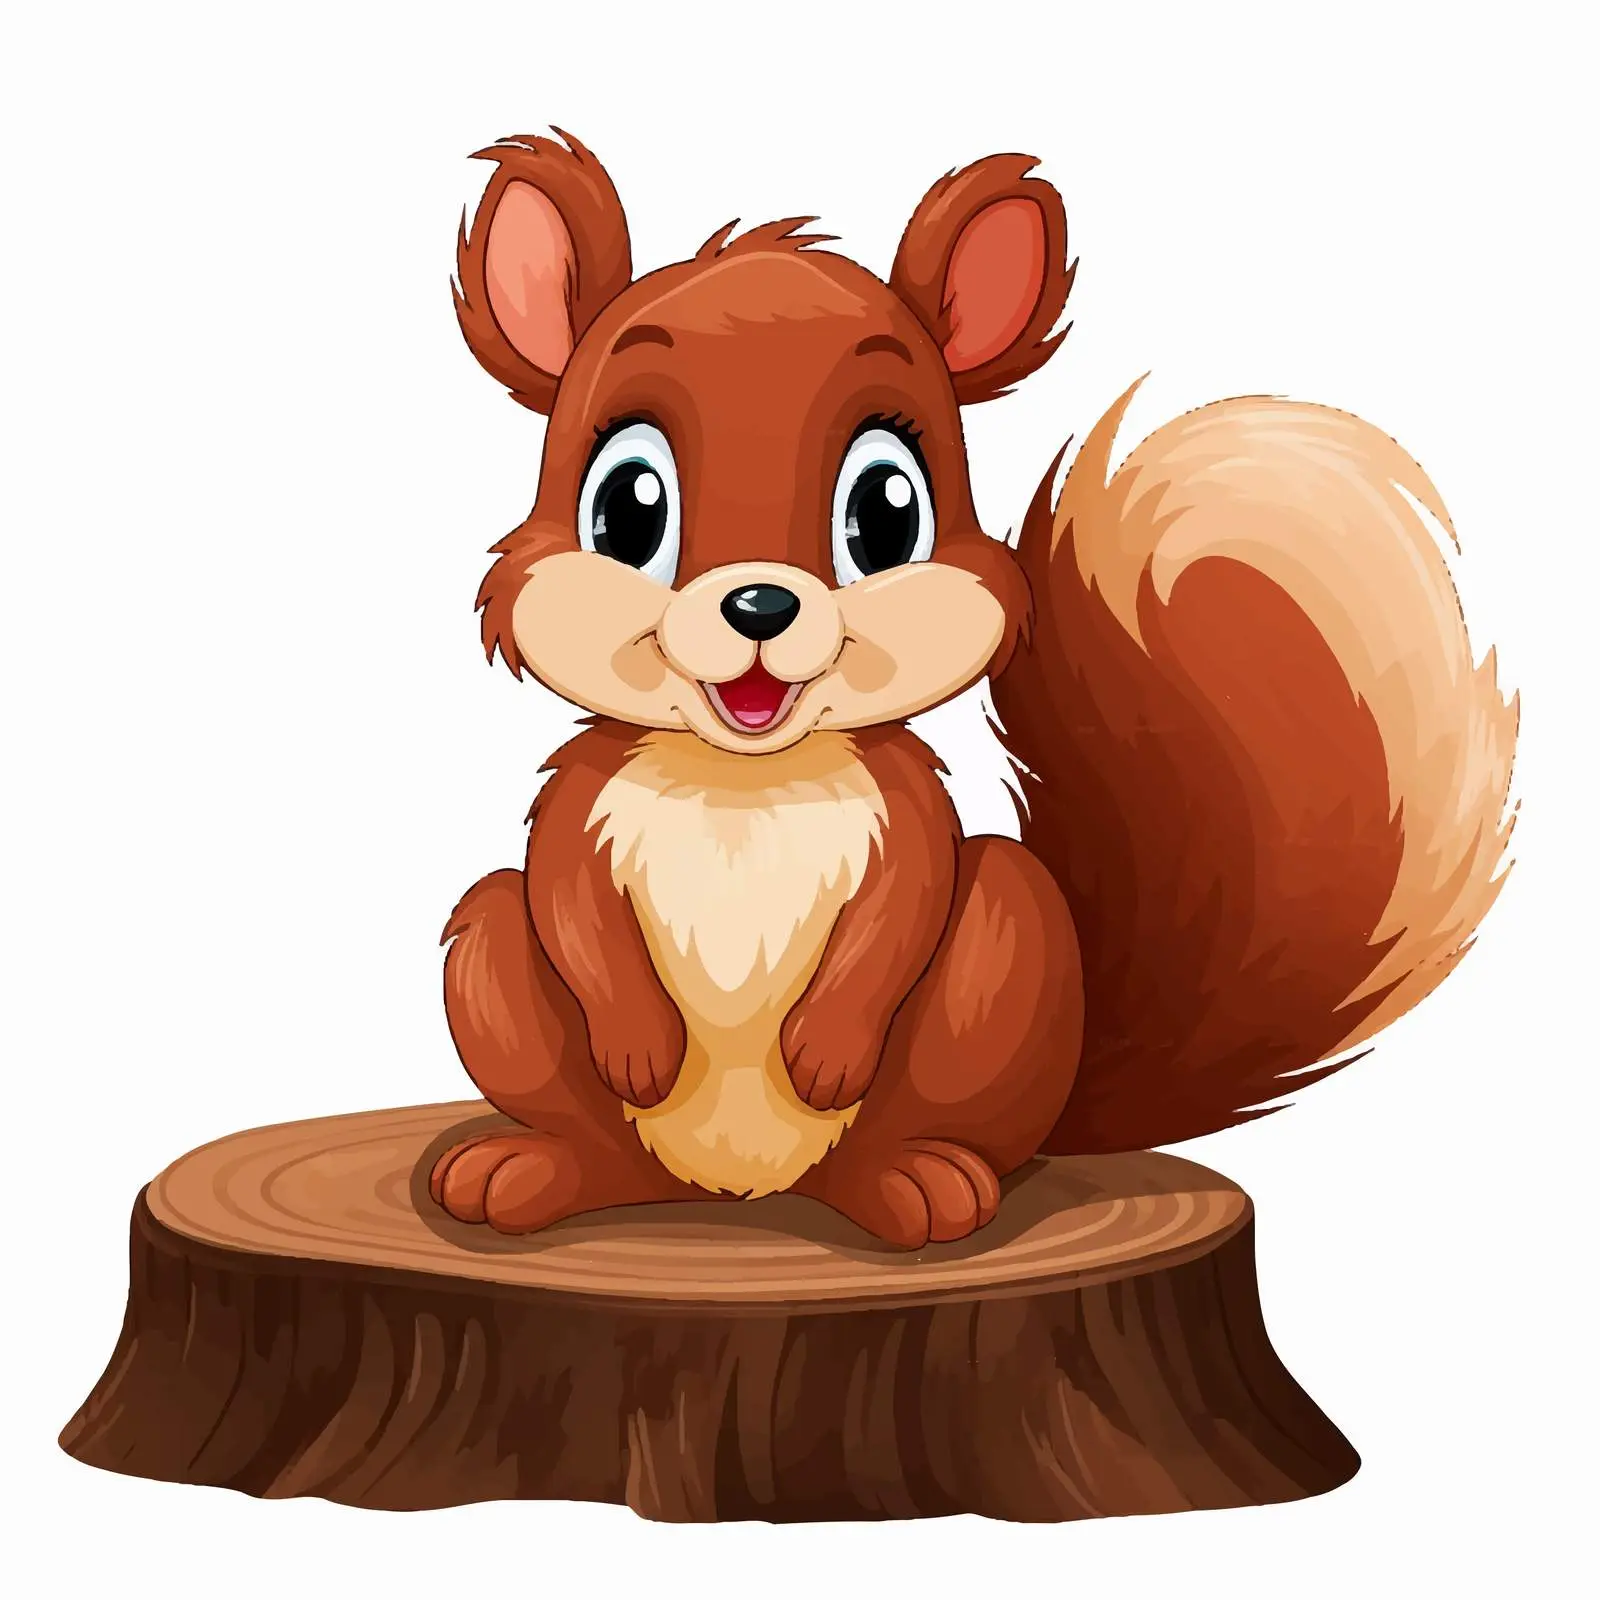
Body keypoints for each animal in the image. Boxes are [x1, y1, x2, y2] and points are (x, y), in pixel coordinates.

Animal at [429, 130, 1518, 1248]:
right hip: (492, 966)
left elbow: (908, 907)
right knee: (519, 955)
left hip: (1009, 951)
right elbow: (563, 895)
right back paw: (529, 1172)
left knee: (942, 1057)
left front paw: (826, 1048)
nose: (760, 605)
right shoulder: (583, 798)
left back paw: (920, 1183)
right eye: (626, 507)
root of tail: (737, 1195)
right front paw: (639, 1042)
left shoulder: (908, 813)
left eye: (887, 507)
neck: (745, 776)